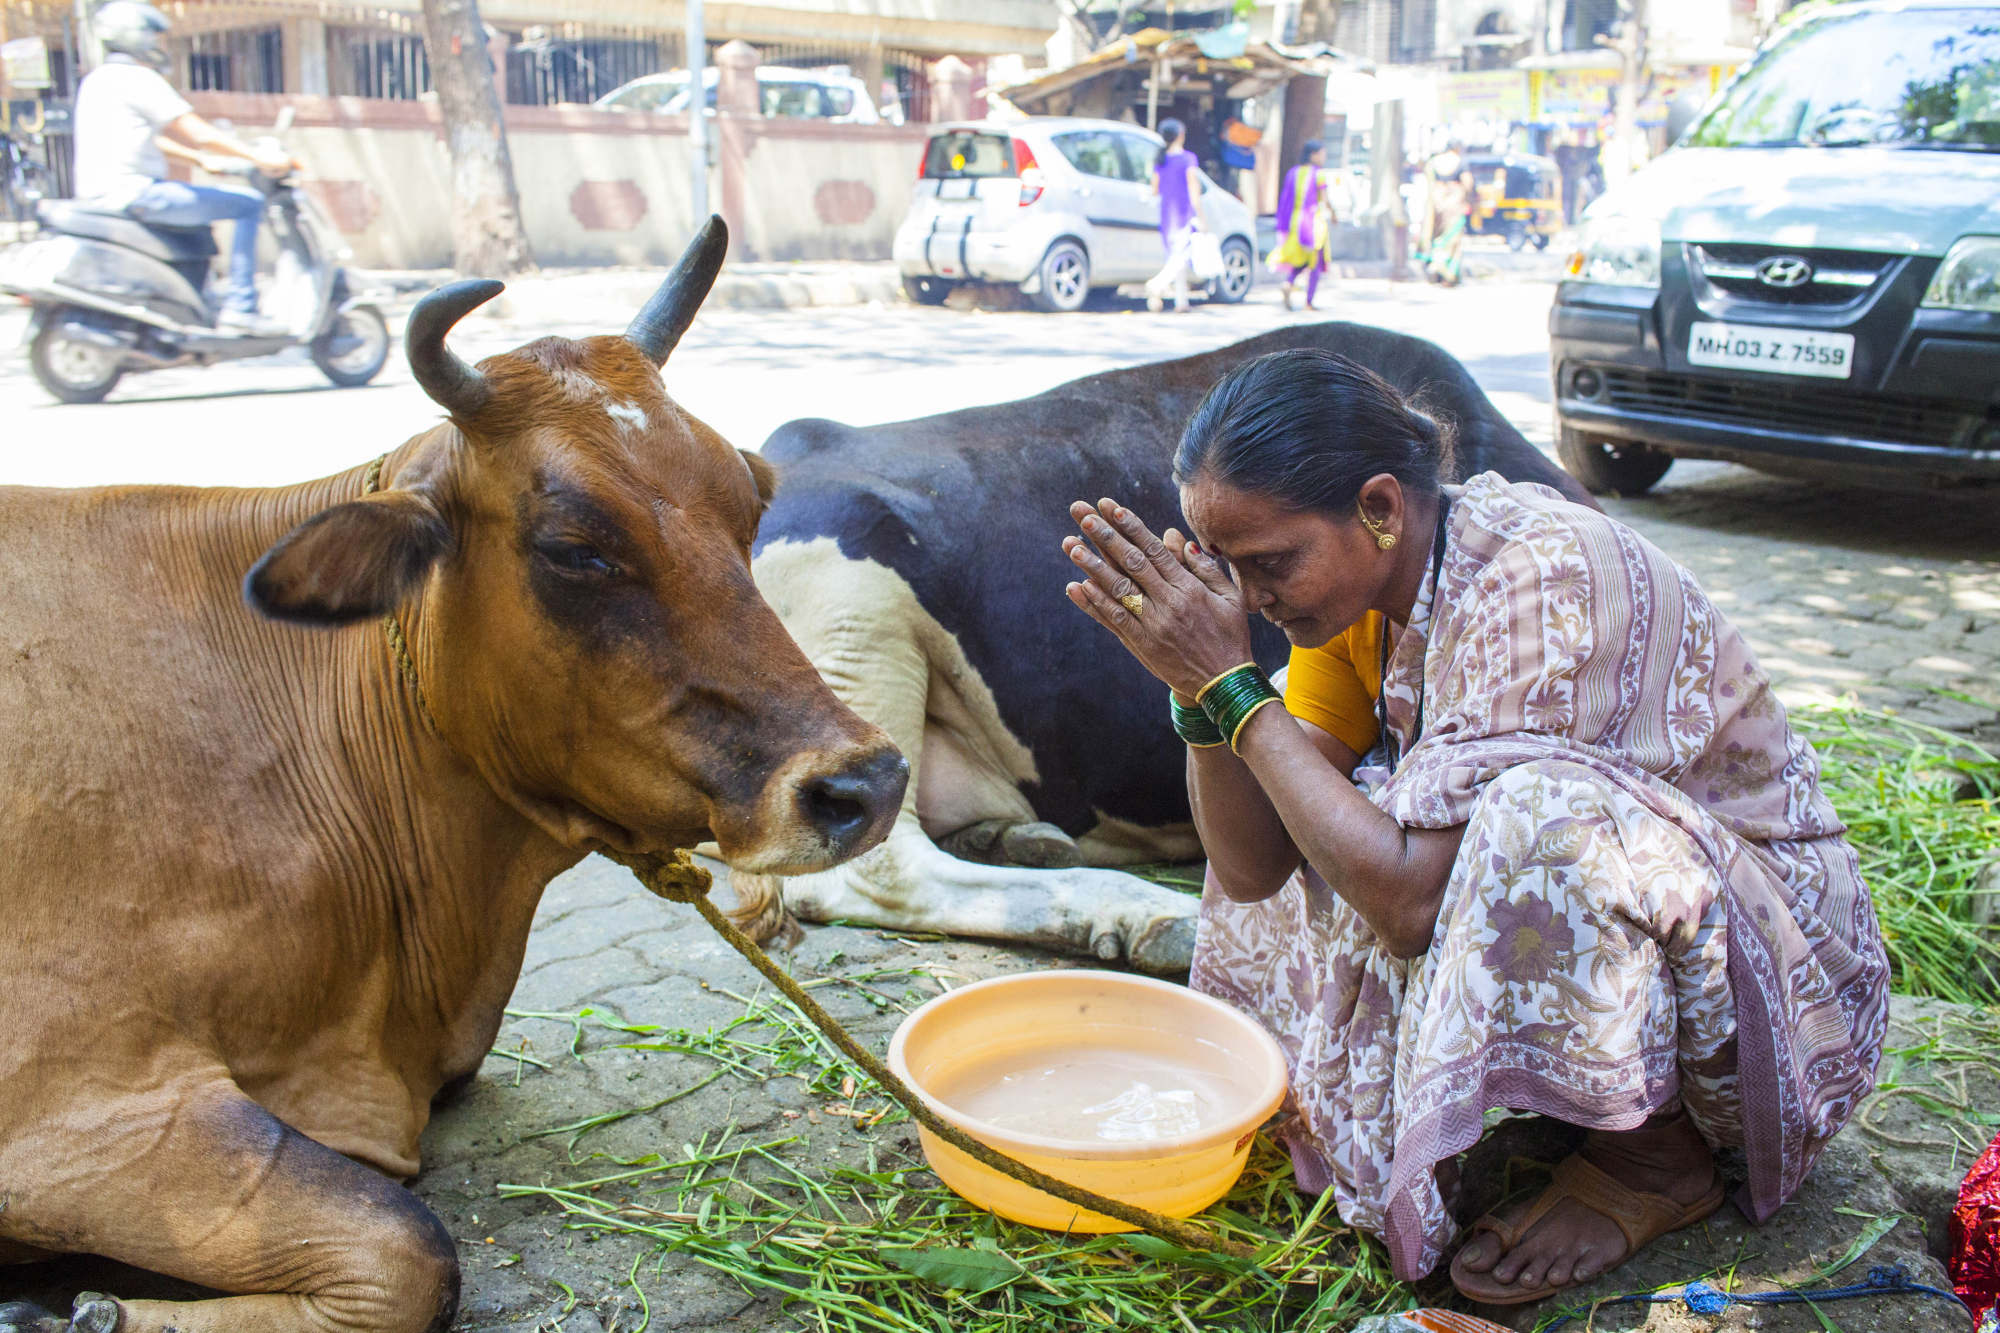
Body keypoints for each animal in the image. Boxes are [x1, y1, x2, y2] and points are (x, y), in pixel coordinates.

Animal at [0, 220, 900, 1328]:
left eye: (750, 499)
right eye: (574, 548)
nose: (864, 784)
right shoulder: (72, 1093)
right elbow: (406, 1249)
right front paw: (87, 1307)